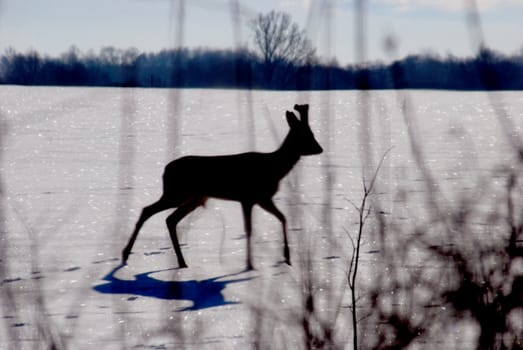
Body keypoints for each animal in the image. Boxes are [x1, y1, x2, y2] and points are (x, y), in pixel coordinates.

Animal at [123, 102, 324, 270]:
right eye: (308, 135)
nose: (320, 149)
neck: (274, 167)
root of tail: (165, 170)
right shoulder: (249, 197)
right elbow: (249, 229)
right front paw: (249, 264)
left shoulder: (262, 198)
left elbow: (282, 218)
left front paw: (287, 258)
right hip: (177, 193)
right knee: (148, 210)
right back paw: (126, 254)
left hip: (194, 198)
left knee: (170, 219)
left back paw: (181, 262)